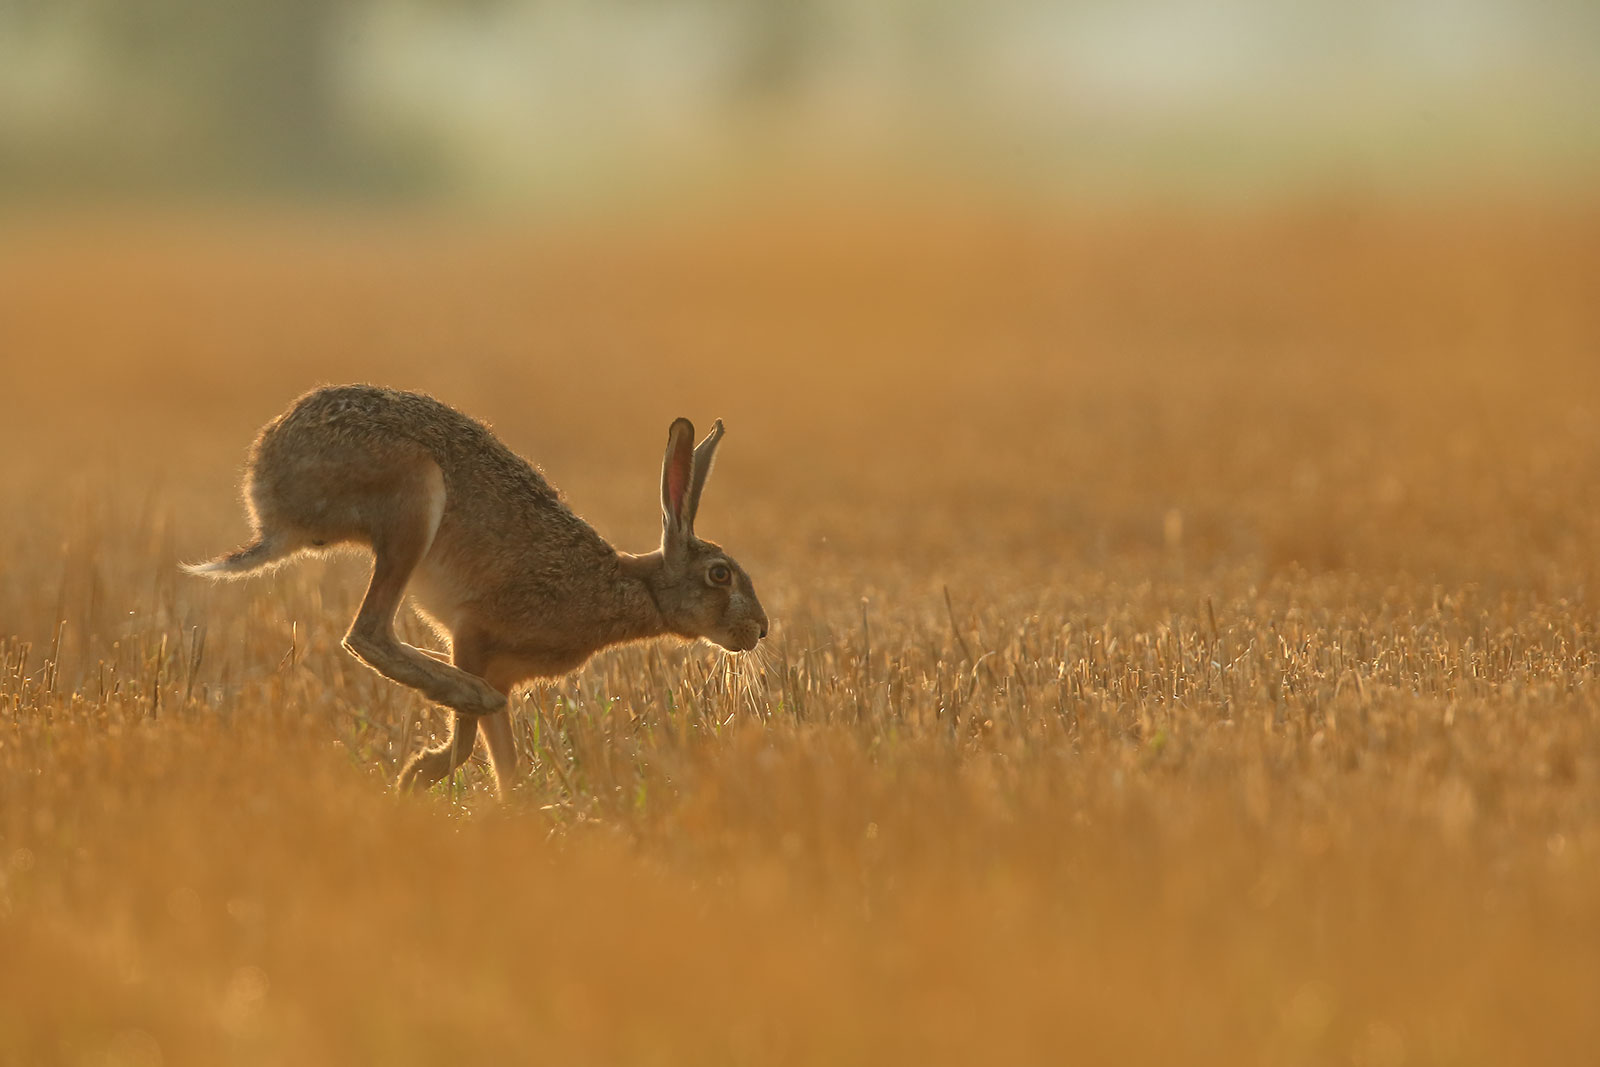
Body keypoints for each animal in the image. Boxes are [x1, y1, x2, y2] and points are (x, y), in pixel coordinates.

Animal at [184, 384, 768, 795]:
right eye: (720, 574)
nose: (761, 631)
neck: (633, 586)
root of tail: (267, 496)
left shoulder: (504, 670)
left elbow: (505, 762)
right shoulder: (476, 636)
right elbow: (469, 742)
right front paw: (419, 775)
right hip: (414, 496)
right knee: (367, 634)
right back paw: (462, 693)